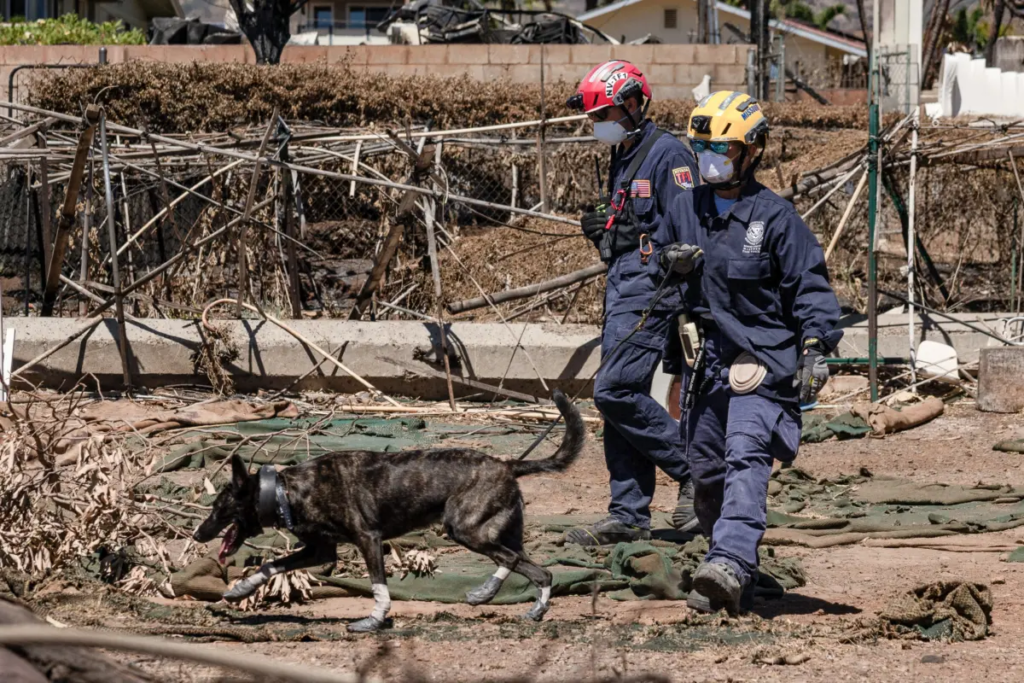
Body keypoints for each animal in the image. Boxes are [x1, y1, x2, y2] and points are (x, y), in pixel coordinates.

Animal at [192, 393, 585, 634]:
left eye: (218, 509)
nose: (196, 534)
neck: (286, 491)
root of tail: (507, 463)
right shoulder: (321, 551)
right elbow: (271, 565)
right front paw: (241, 588)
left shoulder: (368, 539)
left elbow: (379, 587)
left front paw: (373, 621)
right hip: (497, 531)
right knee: (531, 565)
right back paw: (507, 598)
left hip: (465, 529)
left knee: (524, 564)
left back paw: (516, 602)